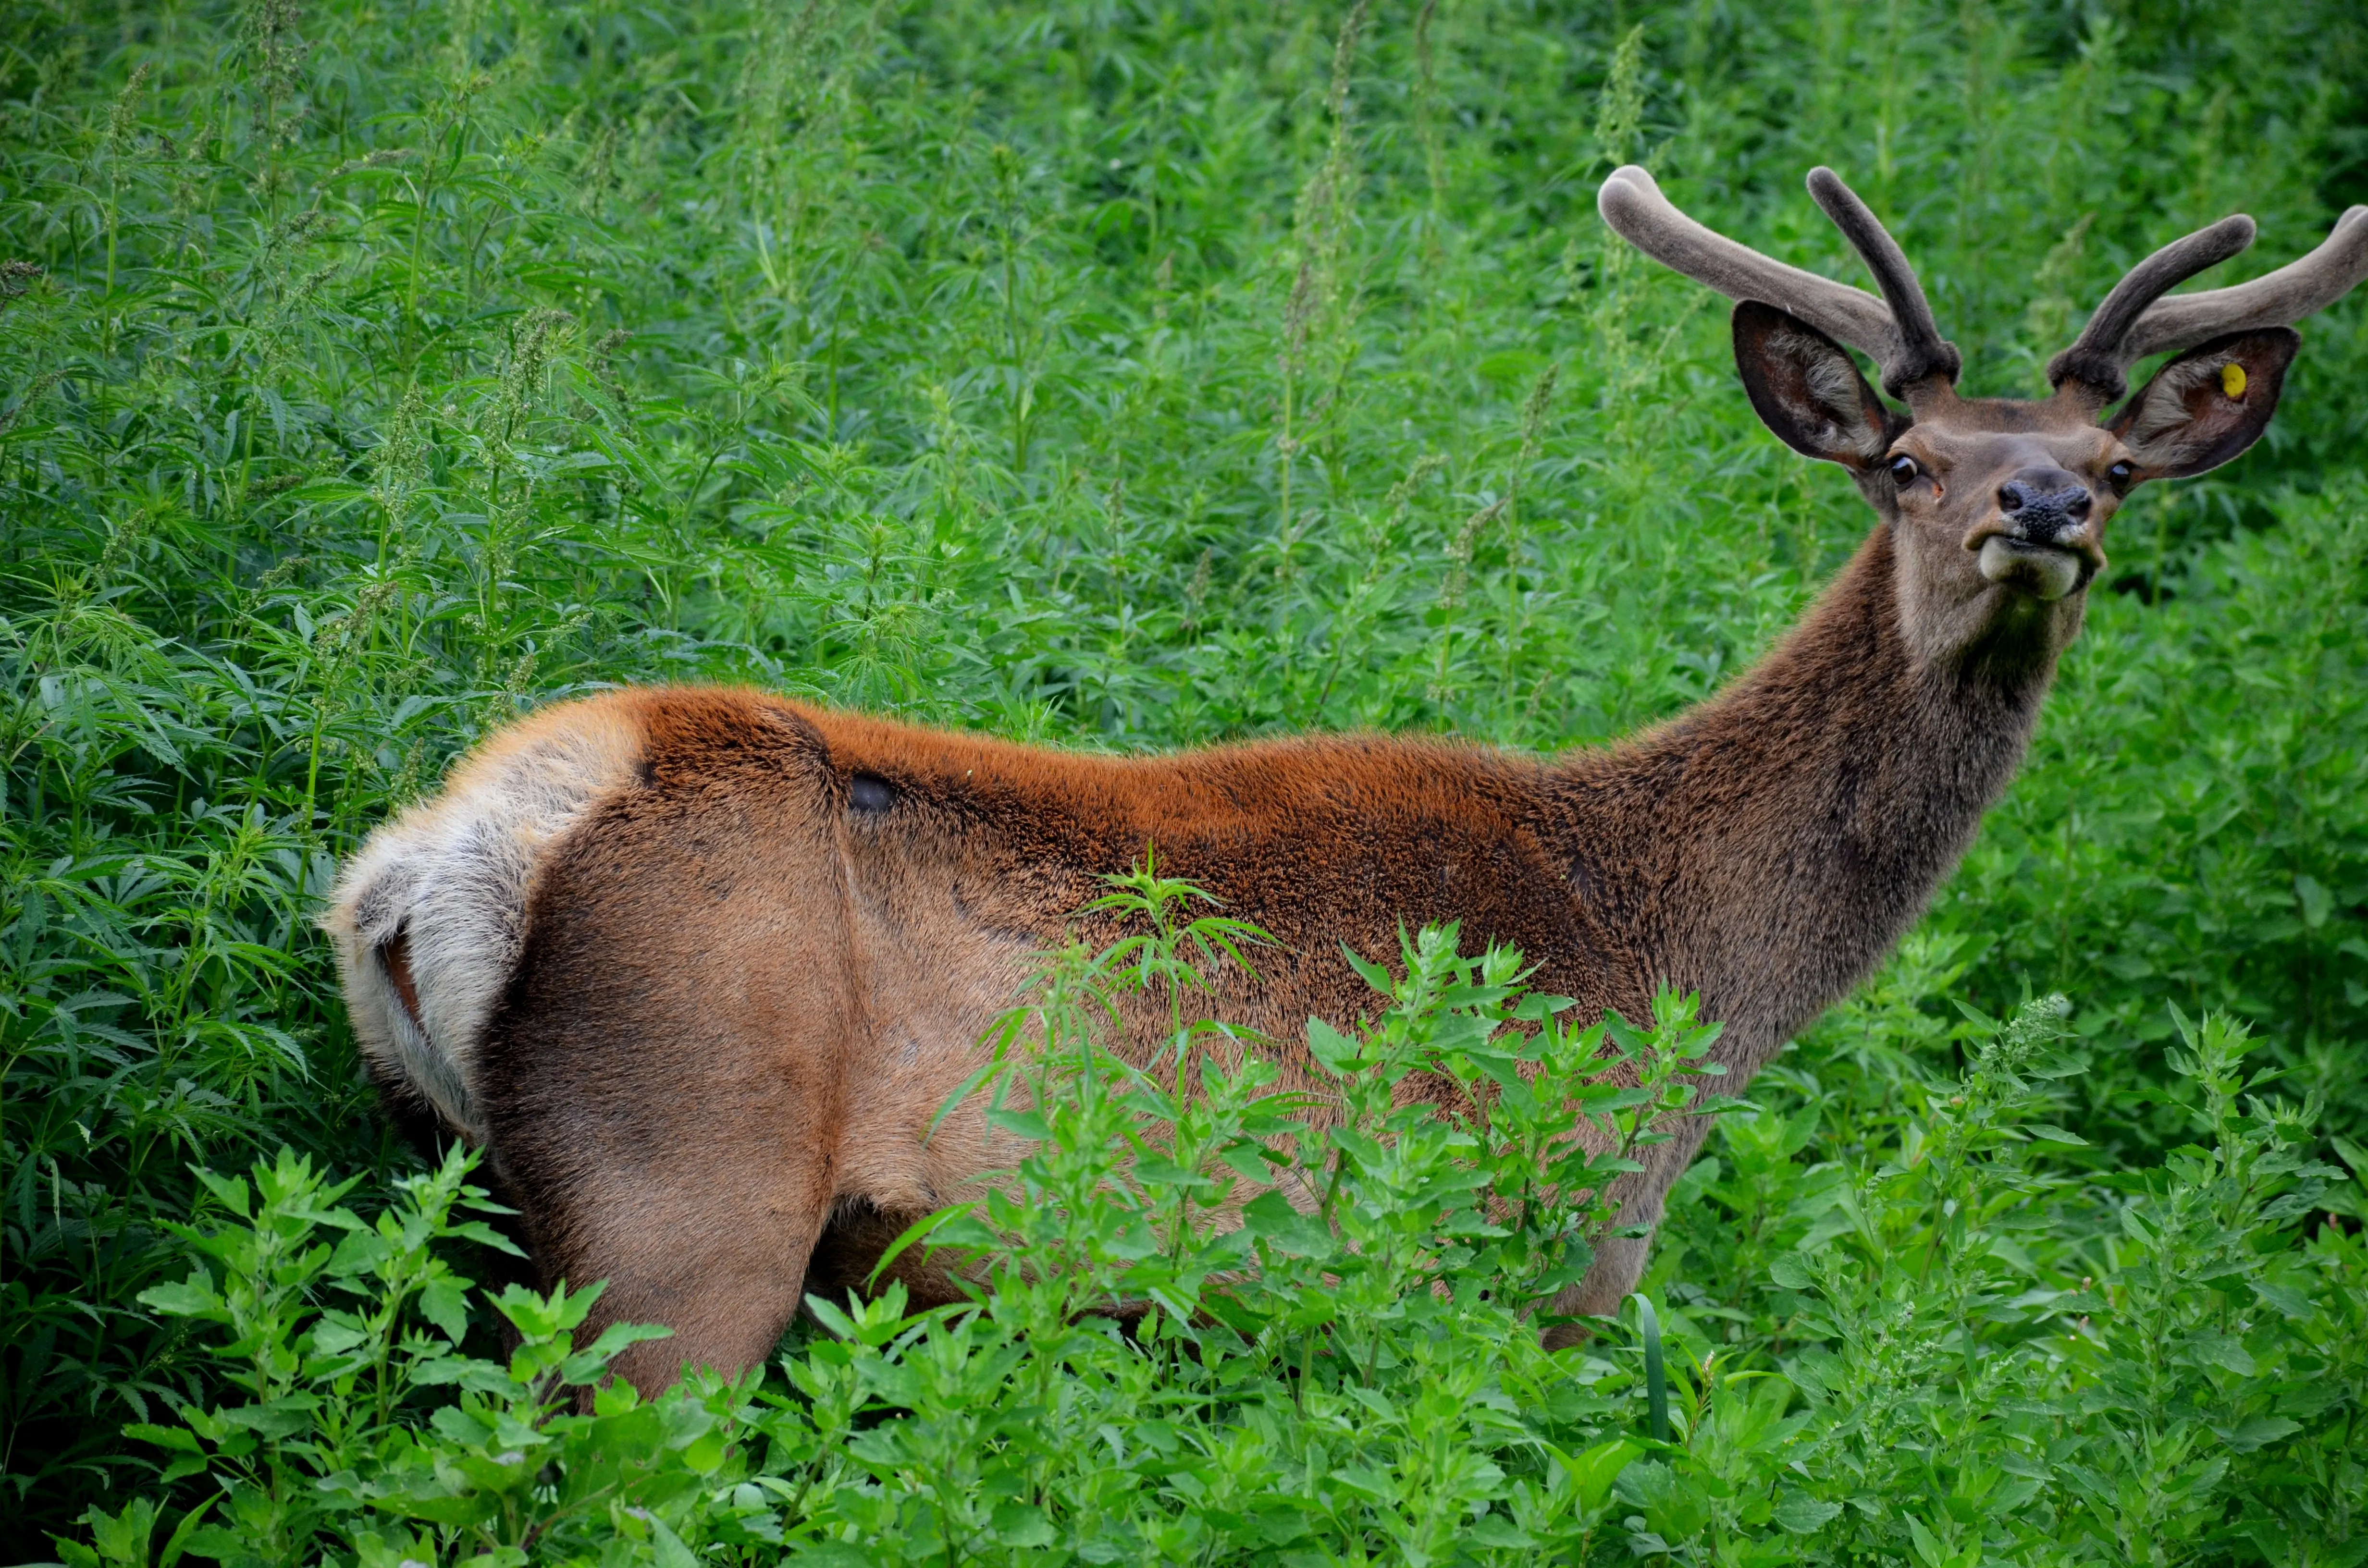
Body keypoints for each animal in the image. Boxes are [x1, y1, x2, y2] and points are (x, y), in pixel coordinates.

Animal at [329, 166, 2368, 1393]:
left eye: (2112, 467)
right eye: (1906, 461)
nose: (2037, 512)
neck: (1696, 974)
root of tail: (433, 859)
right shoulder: (1531, 1257)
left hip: (489, 1186)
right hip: (683, 1202)